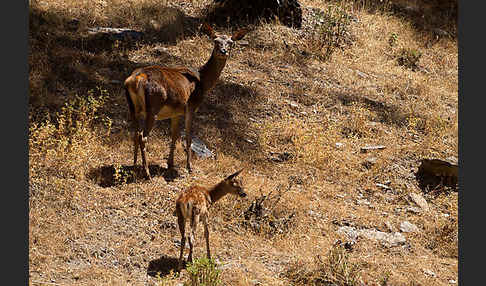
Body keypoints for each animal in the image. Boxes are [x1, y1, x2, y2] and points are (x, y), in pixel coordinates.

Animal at [123, 23, 249, 178]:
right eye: (215, 41)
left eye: (230, 42)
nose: (223, 51)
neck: (202, 82)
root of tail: (135, 80)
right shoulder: (191, 106)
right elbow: (188, 137)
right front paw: (189, 167)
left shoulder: (175, 112)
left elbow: (174, 135)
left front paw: (170, 163)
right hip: (154, 106)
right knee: (143, 137)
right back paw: (146, 172)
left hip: (133, 108)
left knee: (135, 134)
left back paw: (134, 166)